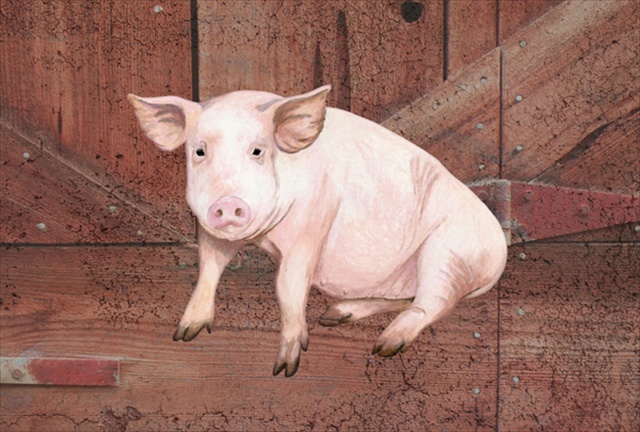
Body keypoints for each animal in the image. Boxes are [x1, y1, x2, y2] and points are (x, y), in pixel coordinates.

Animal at [128, 85, 507, 377]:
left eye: (257, 150)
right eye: (199, 150)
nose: (228, 203)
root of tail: (500, 252)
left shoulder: (314, 222)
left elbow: (289, 285)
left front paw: (285, 368)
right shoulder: (212, 231)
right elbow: (209, 267)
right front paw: (184, 333)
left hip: (448, 252)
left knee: (433, 303)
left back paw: (384, 345)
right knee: (410, 298)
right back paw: (336, 315)